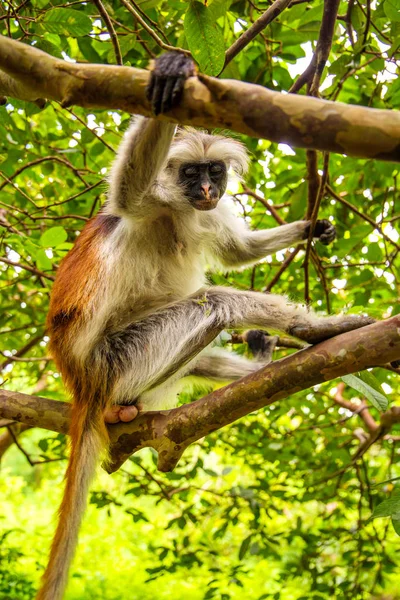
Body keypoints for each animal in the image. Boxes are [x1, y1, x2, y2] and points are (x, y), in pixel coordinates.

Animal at [37, 52, 372, 600]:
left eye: (214, 171)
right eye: (192, 173)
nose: (210, 189)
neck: (179, 213)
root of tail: (81, 382)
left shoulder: (206, 215)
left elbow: (237, 252)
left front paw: (309, 228)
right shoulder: (151, 202)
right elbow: (127, 192)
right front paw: (171, 70)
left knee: (206, 353)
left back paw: (257, 365)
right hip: (118, 361)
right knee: (214, 303)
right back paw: (317, 332)